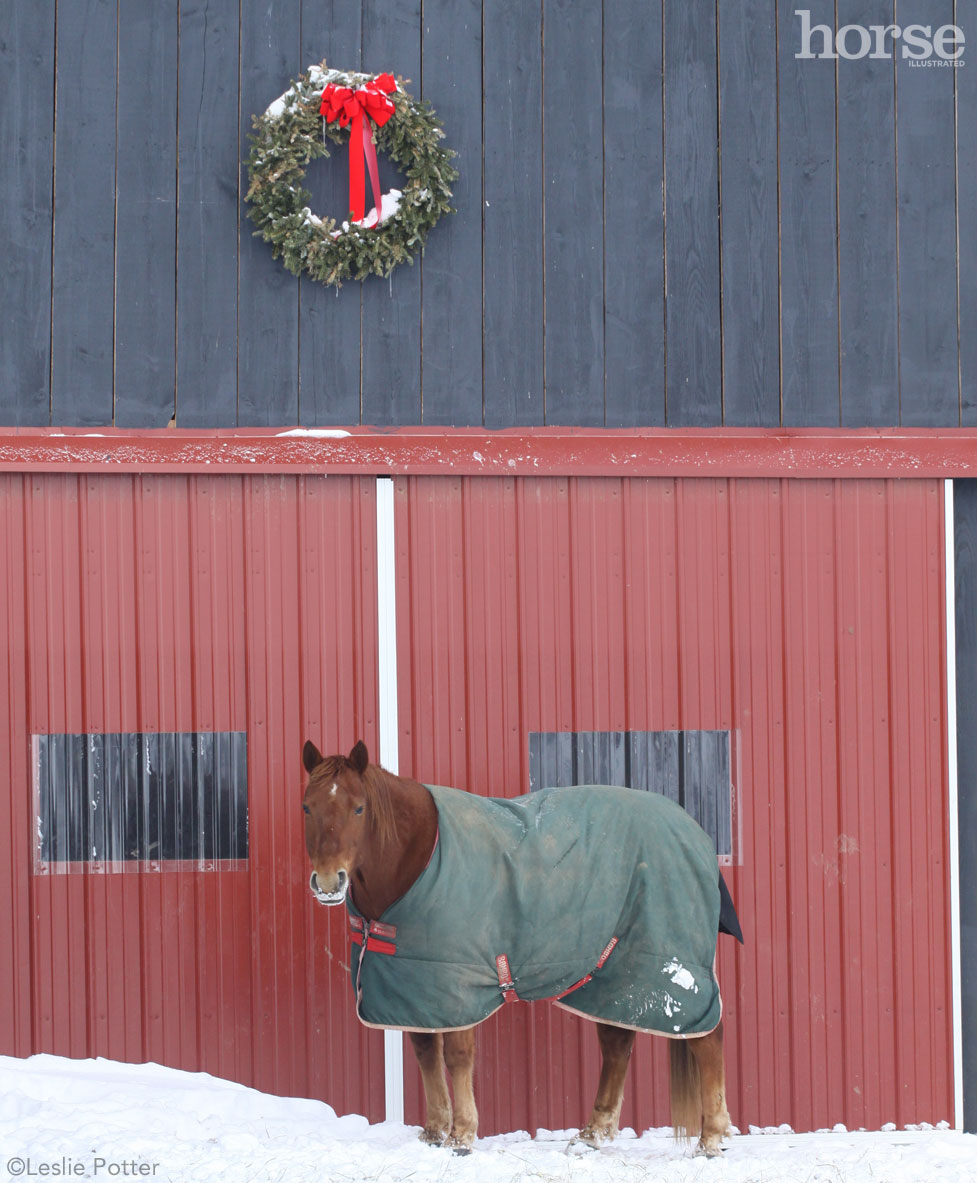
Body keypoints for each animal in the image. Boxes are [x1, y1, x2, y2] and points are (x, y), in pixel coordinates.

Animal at [300, 738, 742, 1154]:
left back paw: (711, 1140)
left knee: (707, 1039)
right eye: (307, 807)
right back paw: (592, 1135)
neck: (420, 857)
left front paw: (462, 1137)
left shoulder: (459, 982)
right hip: (613, 974)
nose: (329, 882)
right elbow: (425, 1052)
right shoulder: (412, 986)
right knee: (617, 1044)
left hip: (670, 970)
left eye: (359, 809)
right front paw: (433, 1133)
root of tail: (695, 833)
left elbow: (457, 1056)